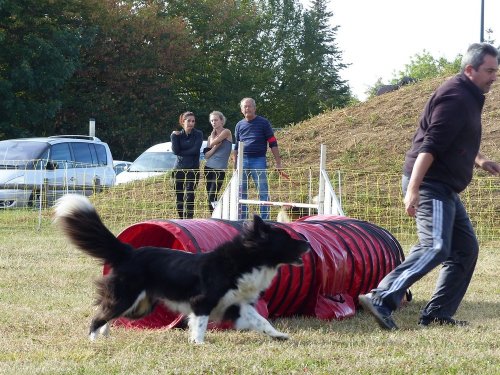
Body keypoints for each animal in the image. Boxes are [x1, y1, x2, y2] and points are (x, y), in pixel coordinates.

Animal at [53, 195, 308, 346]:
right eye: (287, 239)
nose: (306, 242)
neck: (247, 259)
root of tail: (129, 252)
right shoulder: (202, 300)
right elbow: (201, 323)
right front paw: (198, 343)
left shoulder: (237, 303)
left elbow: (261, 321)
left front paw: (279, 335)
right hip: (127, 295)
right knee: (100, 315)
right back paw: (93, 339)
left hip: (140, 305)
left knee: (109, 314)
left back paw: (105, 335)